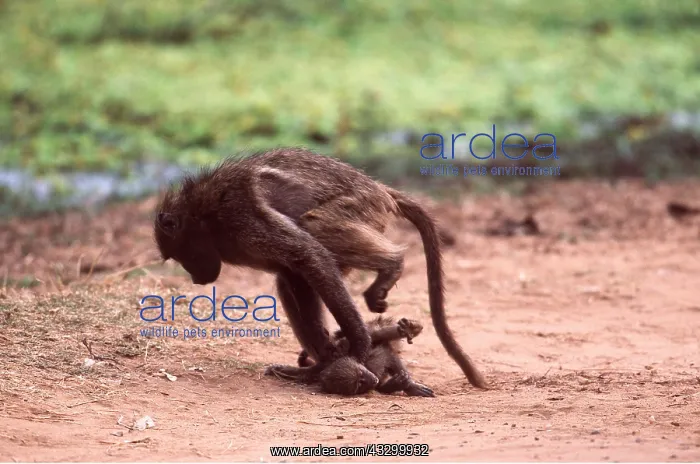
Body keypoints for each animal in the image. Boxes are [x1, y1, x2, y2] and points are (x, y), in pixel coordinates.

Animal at [153, 148, 487, 389]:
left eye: (181, 255)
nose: (196, 279)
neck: (205, 216)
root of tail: (380, 190)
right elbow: (298, 272)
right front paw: (331, 358)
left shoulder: (240, 212)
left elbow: (309, 255)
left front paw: (360, 345)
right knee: (290, 280)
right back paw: (316, 367)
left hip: (359, 208)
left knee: (314, 228)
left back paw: (391, 268)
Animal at [294, 316, 435, 397]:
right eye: (358, 385)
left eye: (361, 373)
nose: (373, 380)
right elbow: (382, 385)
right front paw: (398, 384)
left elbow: (387, 354)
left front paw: (410, 386)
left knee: (375, 334)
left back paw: (410, 328)